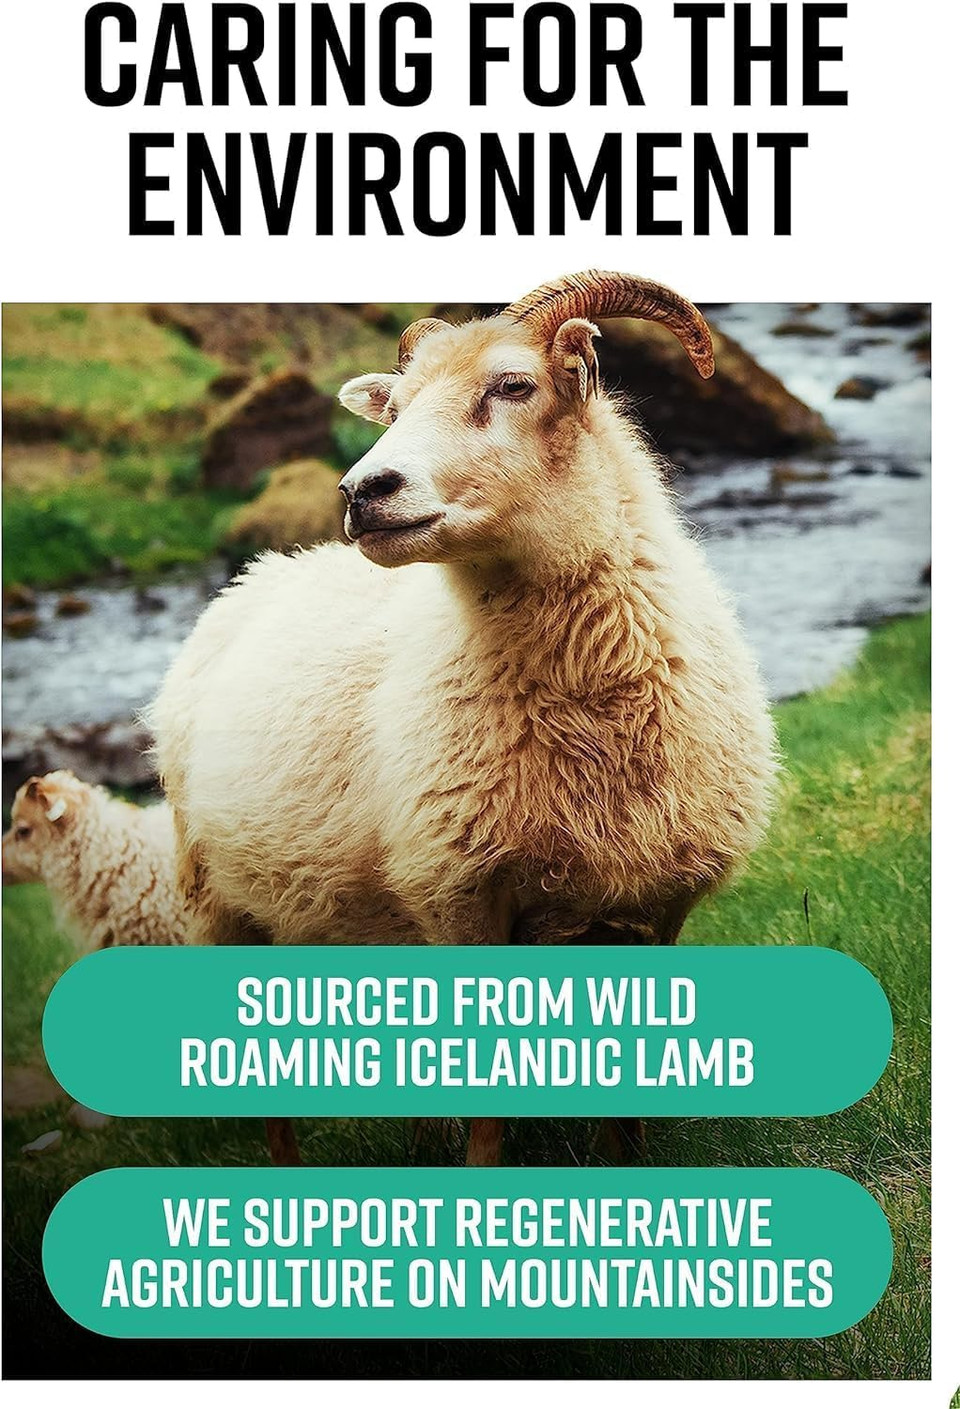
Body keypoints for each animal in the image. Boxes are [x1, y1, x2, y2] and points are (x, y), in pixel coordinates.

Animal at [149, 271, 777, 1165]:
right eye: (396, 405)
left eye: (513, 385)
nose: (361, 492)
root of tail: (258, 574)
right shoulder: (460, 897)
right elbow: (486, 1113)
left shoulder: (658, 905)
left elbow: (625, 1111)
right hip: (221, 903)